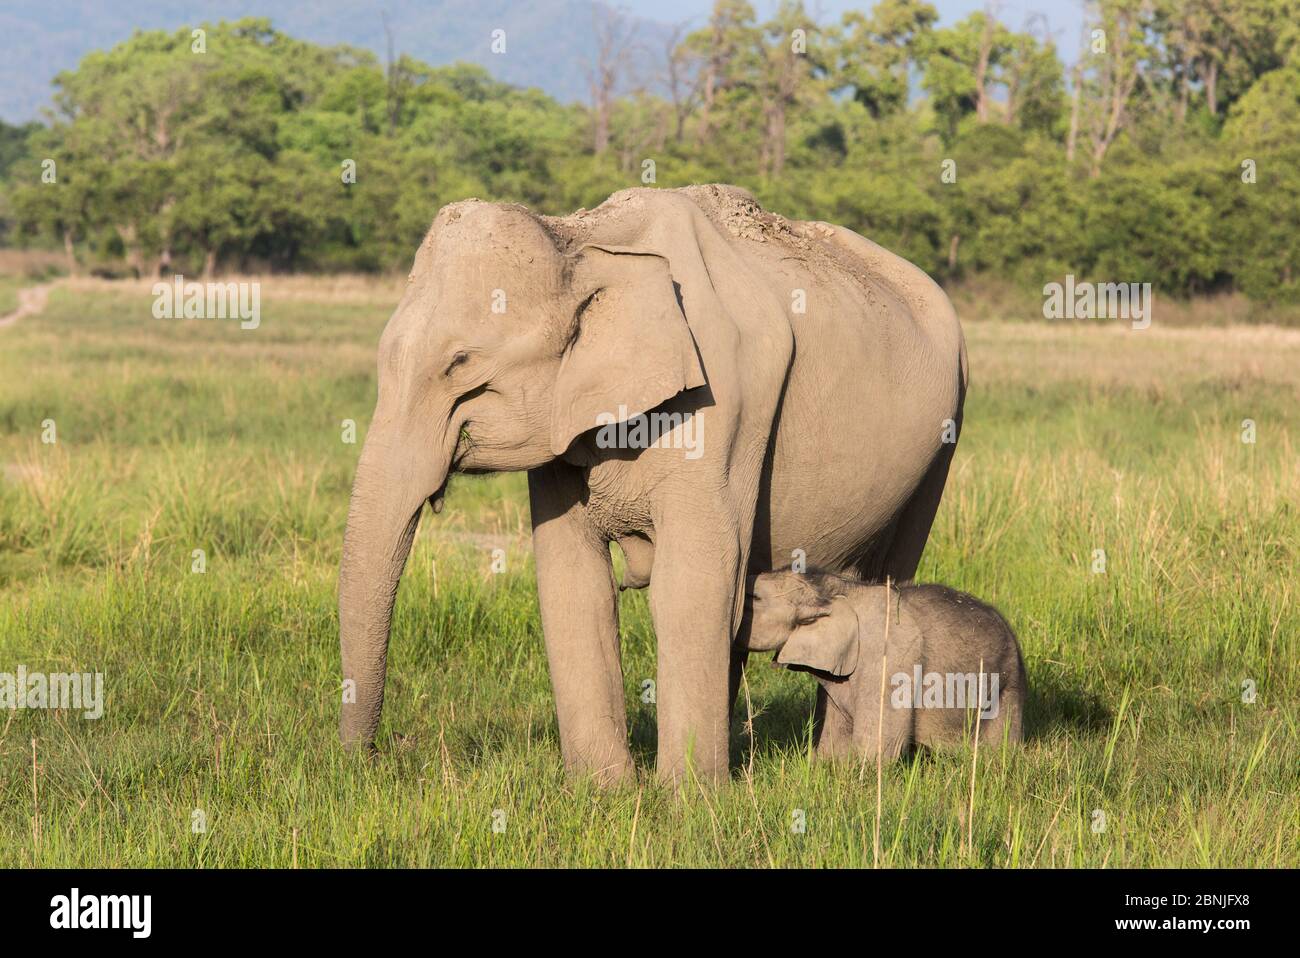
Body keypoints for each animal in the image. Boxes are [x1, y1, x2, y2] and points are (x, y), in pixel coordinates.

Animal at [338, 183, 967, 779]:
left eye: (460, 364)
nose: (375, 759)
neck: (583, 240)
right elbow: (573, 582)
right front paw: (604, 792)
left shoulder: (725, 403)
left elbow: (693, 581)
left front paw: (687, 799)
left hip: (940, 445)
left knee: (882, 585)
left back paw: (838, 769)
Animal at [743, 566, 1024, 764]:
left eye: (754, 597)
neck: (839, 589)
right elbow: (835, 745)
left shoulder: (890, 663)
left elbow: (878, 752)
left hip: (1008, 687)